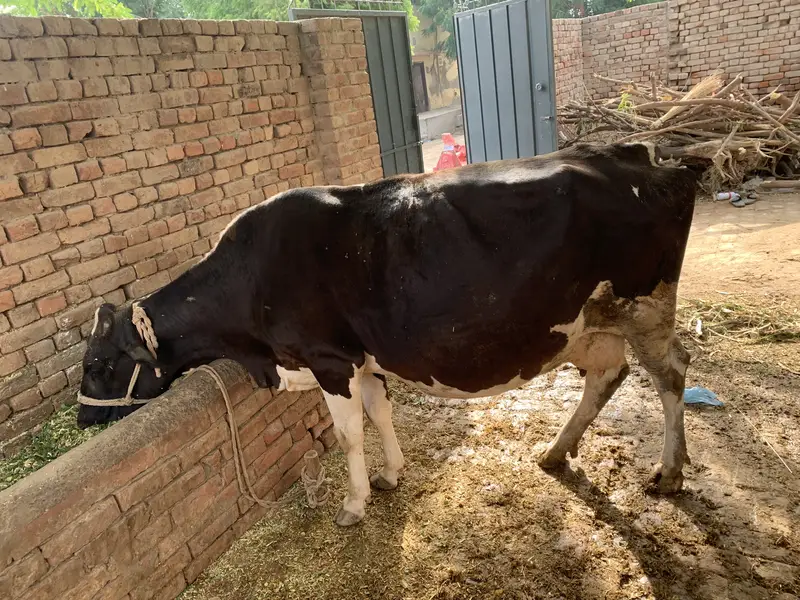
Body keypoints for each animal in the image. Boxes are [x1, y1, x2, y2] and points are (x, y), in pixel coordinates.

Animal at [77, 142, 699, 527]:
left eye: (98, 365)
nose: (82, 418)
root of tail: (643, 155)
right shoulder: (364, 360)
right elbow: (381, 415)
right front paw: (392, 474)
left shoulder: (329, 360)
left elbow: (350, 435)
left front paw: (354, 504)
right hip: (590, 322)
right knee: (607, 375)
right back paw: (555, 452)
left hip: (647, 307)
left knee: (671, 375)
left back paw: (668, 472)